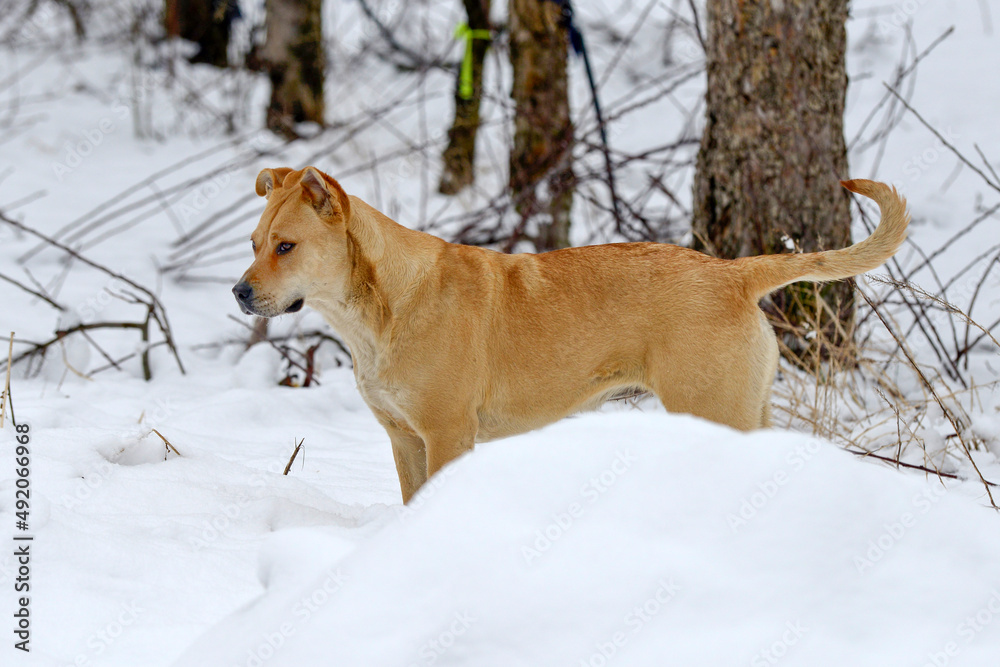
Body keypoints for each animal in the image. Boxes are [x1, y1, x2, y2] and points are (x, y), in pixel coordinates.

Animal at [232, 167, 908, 500]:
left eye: (286, 247)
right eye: (255, 243)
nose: (239, 292)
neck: (382, 308)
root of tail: (734, 272)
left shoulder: (447, 435)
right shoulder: (404, 440)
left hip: (714, 408)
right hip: (746, 409)